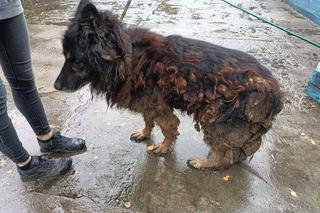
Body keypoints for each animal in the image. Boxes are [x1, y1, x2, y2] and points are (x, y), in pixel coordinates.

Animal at [54, 0, 282, 170]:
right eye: (64, 57)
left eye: (76, 62)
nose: (55, 86)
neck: (127, 58)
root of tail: (276, 92)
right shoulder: (148, 103)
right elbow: (148, 120)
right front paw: (145, 133)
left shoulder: (160, 106)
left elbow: (169, 128)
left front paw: (163, 147)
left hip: (215, 119)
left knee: (227, 156)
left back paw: (205, 163)